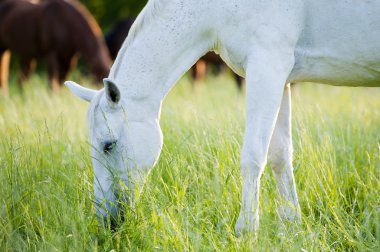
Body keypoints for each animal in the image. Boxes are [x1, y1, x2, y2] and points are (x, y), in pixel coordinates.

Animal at [65, 0, 380, 235]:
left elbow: (253, 156)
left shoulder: (267, 66)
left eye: (108, 145)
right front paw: (291, 225)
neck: (216, 8)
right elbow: (280, 155)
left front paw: (247, 230)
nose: (108, 221)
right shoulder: (281, 77)